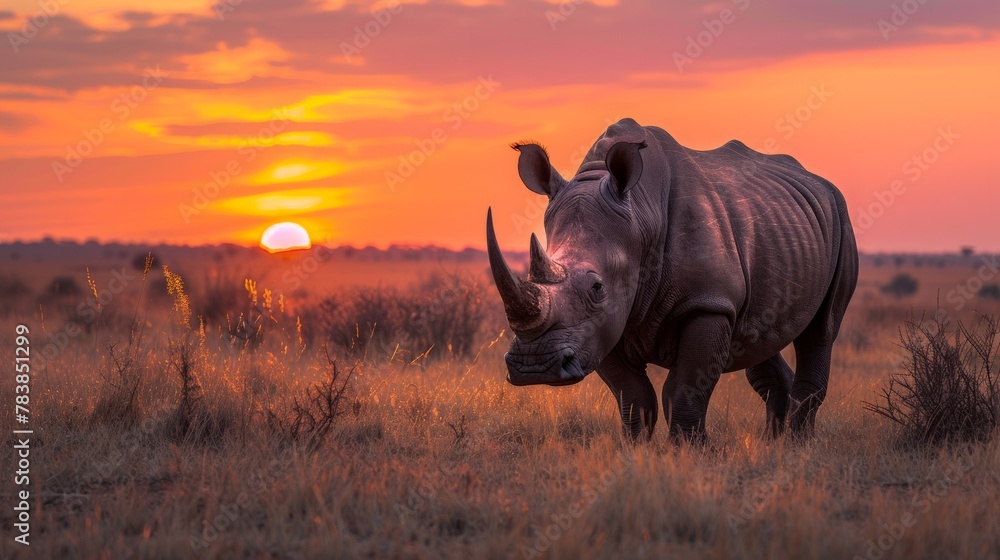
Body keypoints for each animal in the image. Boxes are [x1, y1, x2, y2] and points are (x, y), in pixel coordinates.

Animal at [487, 118, 858, 442]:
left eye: (597, 288)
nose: (534, 365)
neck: (640, 215)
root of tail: (819, 182)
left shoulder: (707, 303)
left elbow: (683, 391)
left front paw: (692, 453)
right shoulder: (603, 326)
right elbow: (633, 397)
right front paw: (636, 450)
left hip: (840, 217)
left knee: (822, 330)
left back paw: (797, 446)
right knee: (760, 336)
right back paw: (773, 445)